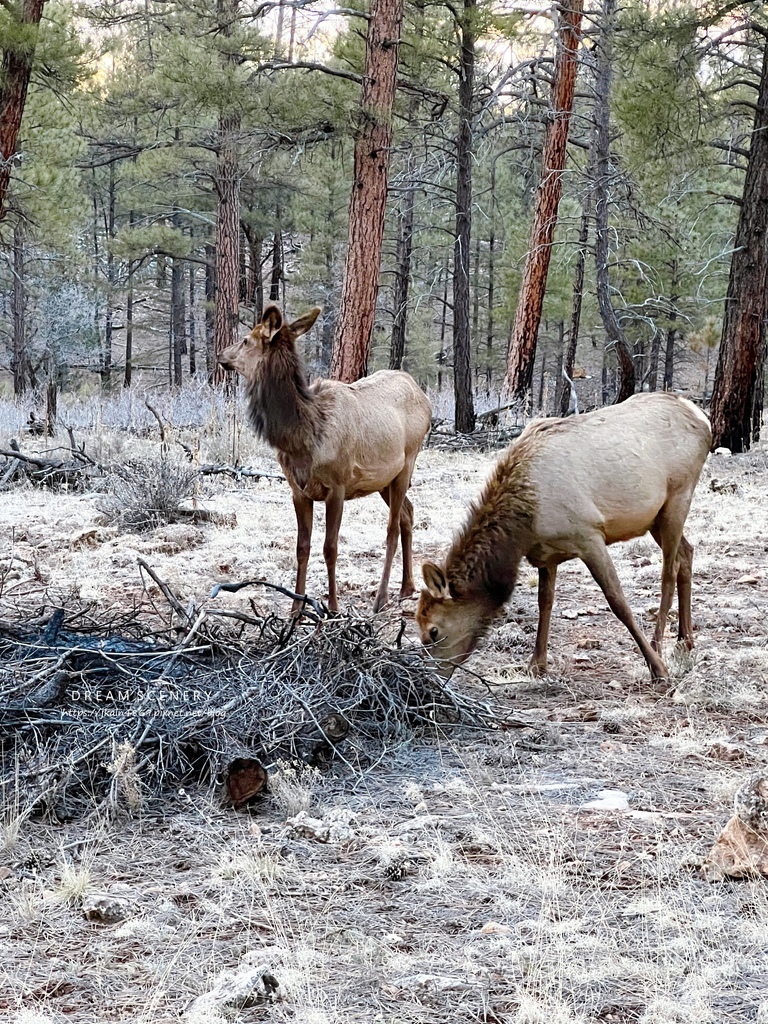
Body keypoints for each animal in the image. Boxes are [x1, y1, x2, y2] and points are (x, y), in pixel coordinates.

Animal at [219, 301, 434, 606]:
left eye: (246, 339)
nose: (221, 354)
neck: (299, 438)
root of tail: (424, 397)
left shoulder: (338, 485)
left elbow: (330, 547)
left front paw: (332, 605)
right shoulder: (298, 490)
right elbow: (302, 547)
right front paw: (296, 607)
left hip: (408, 462)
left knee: (392, 528)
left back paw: (381, 597)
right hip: (384, 479)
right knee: (408, 513)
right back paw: (407, 587)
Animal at [417, 395, 712, 684]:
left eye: (433, 631)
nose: (429, 680)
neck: (523, 527)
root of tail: (702, 417)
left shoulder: (589, 535)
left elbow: (618, 602)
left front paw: (657, 667)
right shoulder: (546, 555)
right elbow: (545, 602)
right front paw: (536, 665)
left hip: (678, 498)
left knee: (669, 572)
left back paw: (659, 645)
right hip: (654, 519)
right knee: (687, 553)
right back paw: (685, 641)